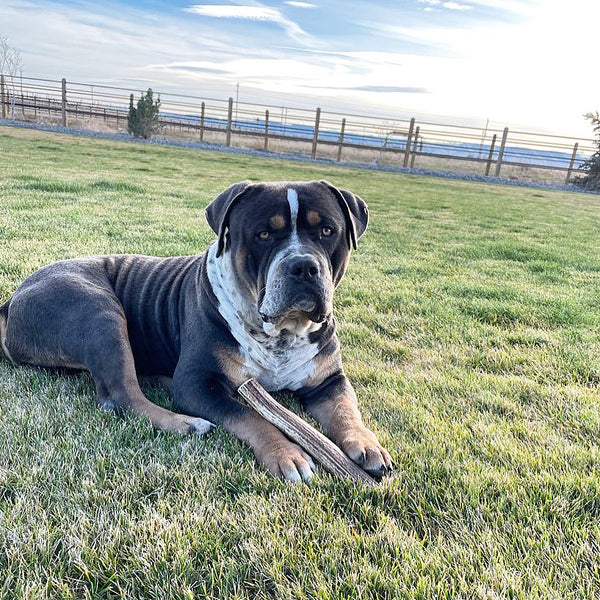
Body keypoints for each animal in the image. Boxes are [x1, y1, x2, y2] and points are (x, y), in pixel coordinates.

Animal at [1, 179, 394, 482]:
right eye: (264, 234)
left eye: (327, 231)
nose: (302, 266)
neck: (279, 332)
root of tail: (13, 297)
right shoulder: (198, 384)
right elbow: (250, 416)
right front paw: (287, 453)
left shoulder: (328, 379)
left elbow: (345, 408)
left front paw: (368, 444)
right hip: (97, 311)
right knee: (123, 395)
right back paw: (187, 424)